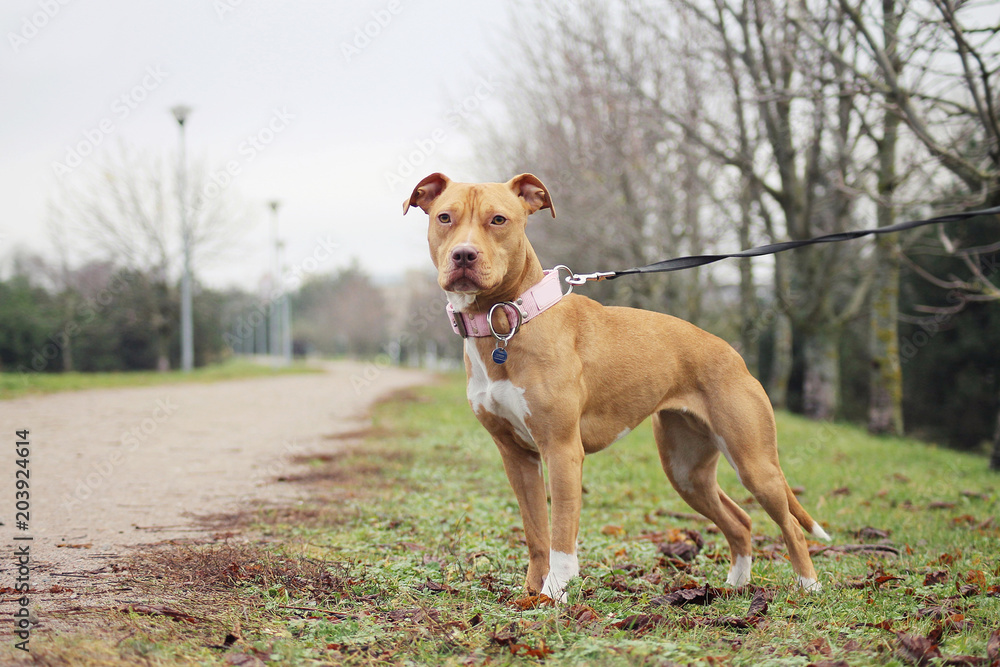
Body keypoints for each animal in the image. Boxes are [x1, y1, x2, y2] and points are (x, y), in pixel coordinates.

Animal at [402, 172, 832, 600]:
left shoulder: (562, 450)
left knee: (790, 526)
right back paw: (735, 586)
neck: (505, 318)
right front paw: (530, 594)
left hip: (754, 464)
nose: (464, 255)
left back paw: (808, 586)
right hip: (686, 471)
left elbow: (561, 535)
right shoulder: (516, 456)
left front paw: (554, 594)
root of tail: (733, 353)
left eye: (498, 220)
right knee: (740, 521)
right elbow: (536, 533)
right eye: (444, 217)